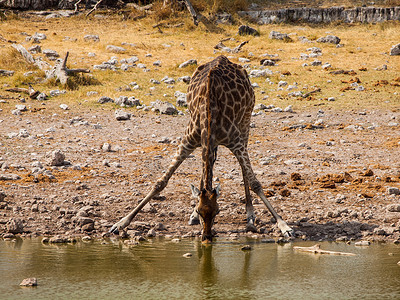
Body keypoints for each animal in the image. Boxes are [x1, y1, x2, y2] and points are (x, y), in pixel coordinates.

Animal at [109, 55, 294, 241]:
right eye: (200, 211)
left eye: (218, 211)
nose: (206, 237)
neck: (209, 115)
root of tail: (223, 57)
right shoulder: (188, 140)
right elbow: (160, 183)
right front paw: (120, 223)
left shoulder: (236, 142)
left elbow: (255, 183)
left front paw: (284, 226)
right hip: (212, 141)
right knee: (209, 163)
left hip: (245, 121)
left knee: (243, 170)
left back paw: (250, 215)